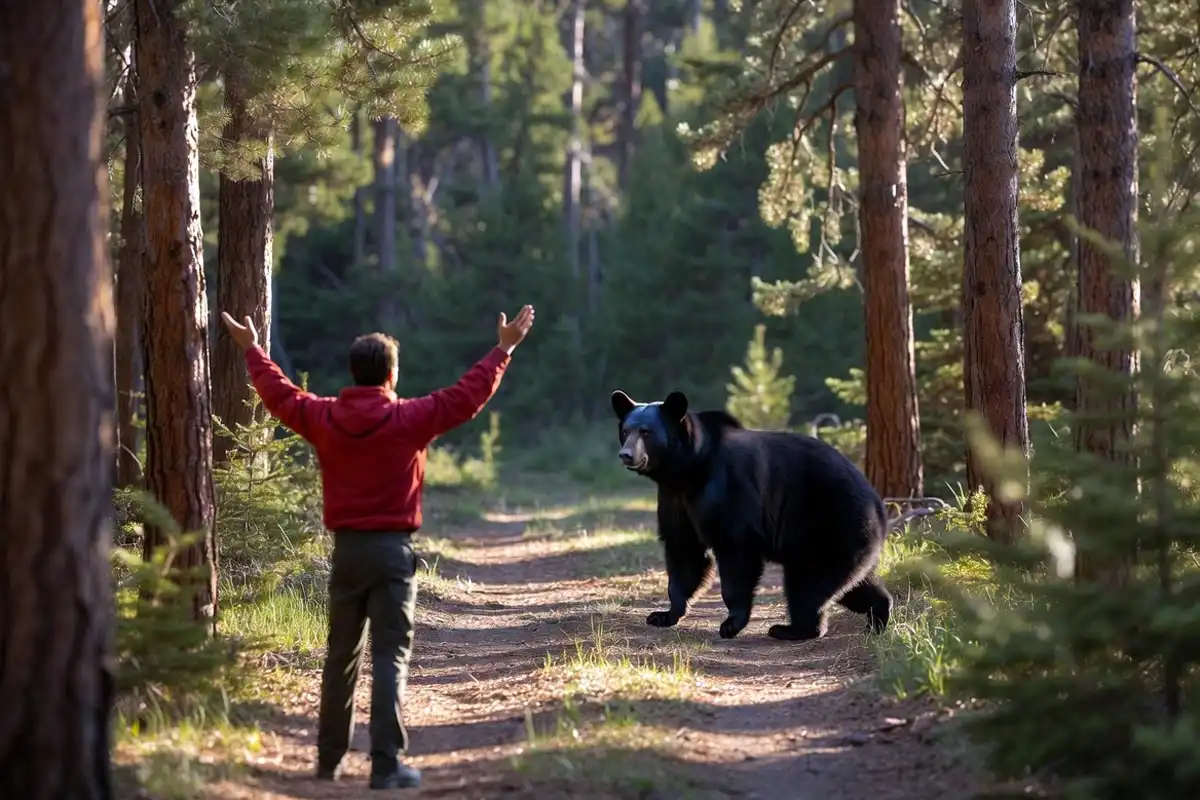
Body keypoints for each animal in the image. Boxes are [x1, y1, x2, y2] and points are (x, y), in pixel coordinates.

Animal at [611, 388, 892, 641]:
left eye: (646, 432)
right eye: (625, 431)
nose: (626, 455)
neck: (689, 469)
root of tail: (879, 505)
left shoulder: (728, 491)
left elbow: (735, 552)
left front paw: (731, 623)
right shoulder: (675, 500)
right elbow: (684, 550)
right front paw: (664, 614)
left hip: (832, 525)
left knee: (808, 584)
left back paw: (791, 629)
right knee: (851, 584)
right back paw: (878, 614)